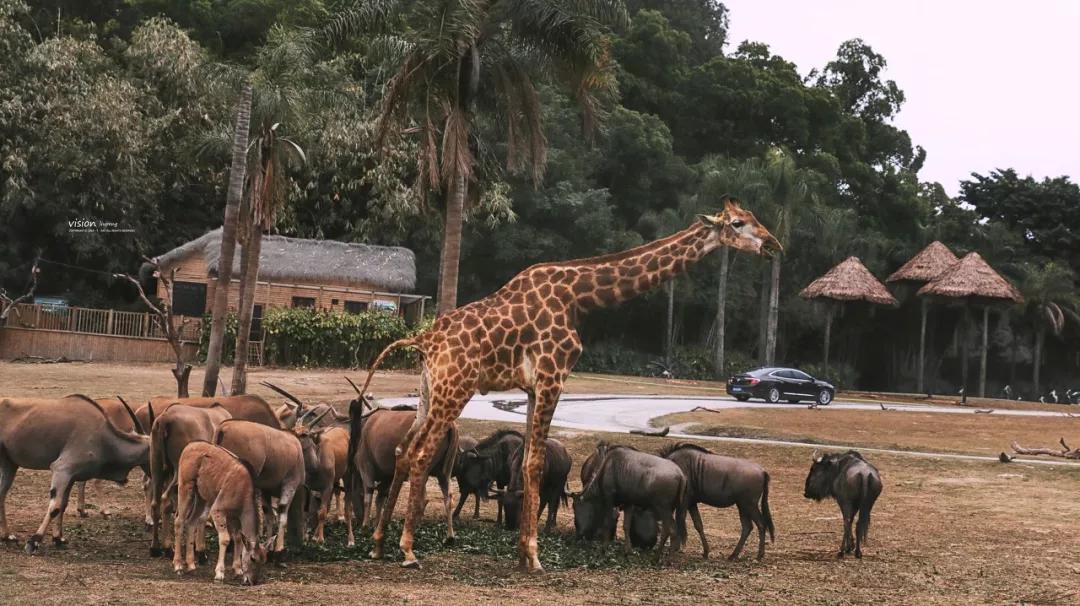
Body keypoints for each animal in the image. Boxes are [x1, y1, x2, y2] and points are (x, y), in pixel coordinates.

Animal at [359, 197, 781, 572]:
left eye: (756, 217)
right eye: (739, 223)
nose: (773, 246)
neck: (580, 298)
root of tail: (423, 340)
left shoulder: (533, 387)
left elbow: (527, 460)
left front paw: (522, 554)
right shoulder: (553, 377)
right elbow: (534, 462)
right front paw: (534, 557)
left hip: (429, 391)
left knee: (402, 450)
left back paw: (378, 543)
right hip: (455, 389)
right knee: (420, 454)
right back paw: (407, 550)